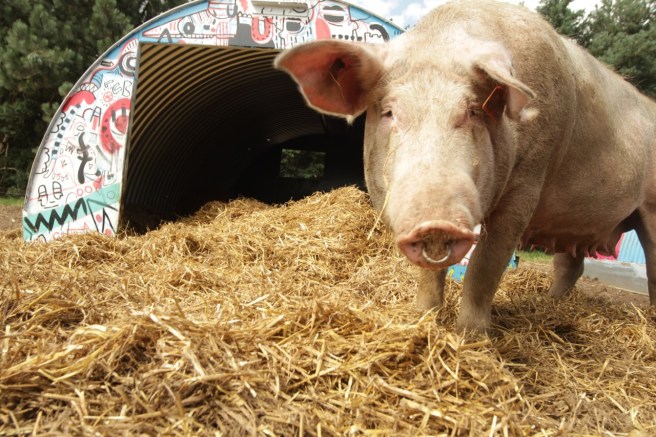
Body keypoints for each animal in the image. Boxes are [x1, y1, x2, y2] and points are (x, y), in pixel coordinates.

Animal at [274, 0, 656, 332]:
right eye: (389, 112)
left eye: (473, 111)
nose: (434, 220)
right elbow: (429, 274)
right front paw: (422, 318)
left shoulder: (528, 182)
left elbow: (485, 267)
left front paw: (471, 336)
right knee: (570, 264)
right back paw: (552, 303)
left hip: (650, 207)